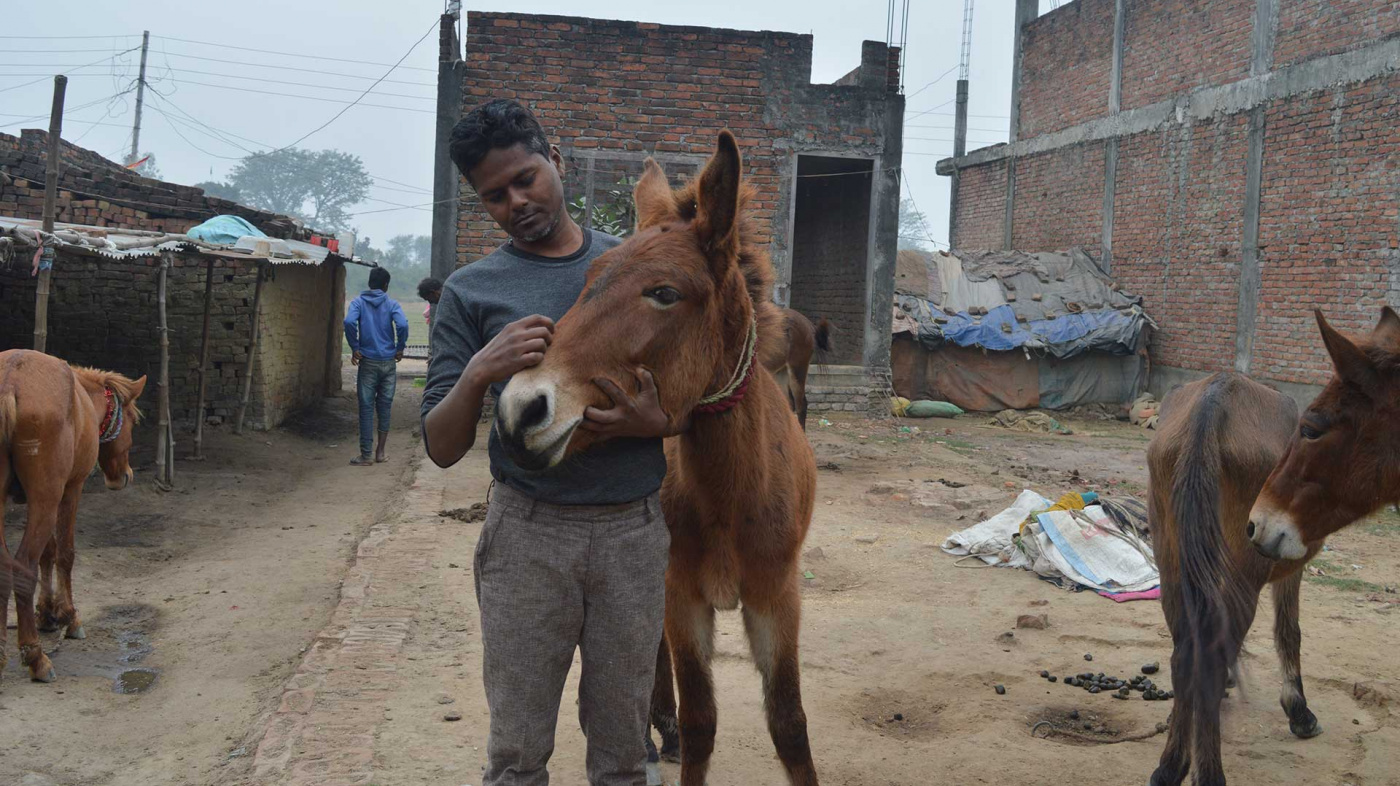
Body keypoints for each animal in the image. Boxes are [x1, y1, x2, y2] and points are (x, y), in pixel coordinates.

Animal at [0, 348, 144, 680]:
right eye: (132, 419)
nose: (124, 476)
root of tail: (12, 378)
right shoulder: (69, 490)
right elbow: (65, 553)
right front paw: (69, 616)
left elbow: (48, 553)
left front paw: (47, 613)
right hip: (47, 496)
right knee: (22, 566)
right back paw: (35, 656)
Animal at [498, 130, 817, 784]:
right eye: (590, 279)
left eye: (665, 293)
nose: (521, 409)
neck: (734, 494)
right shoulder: (683, 594)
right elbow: (700, 722)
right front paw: (672, 726)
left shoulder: (778, 597)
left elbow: (790, 725)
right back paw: (656, 727)